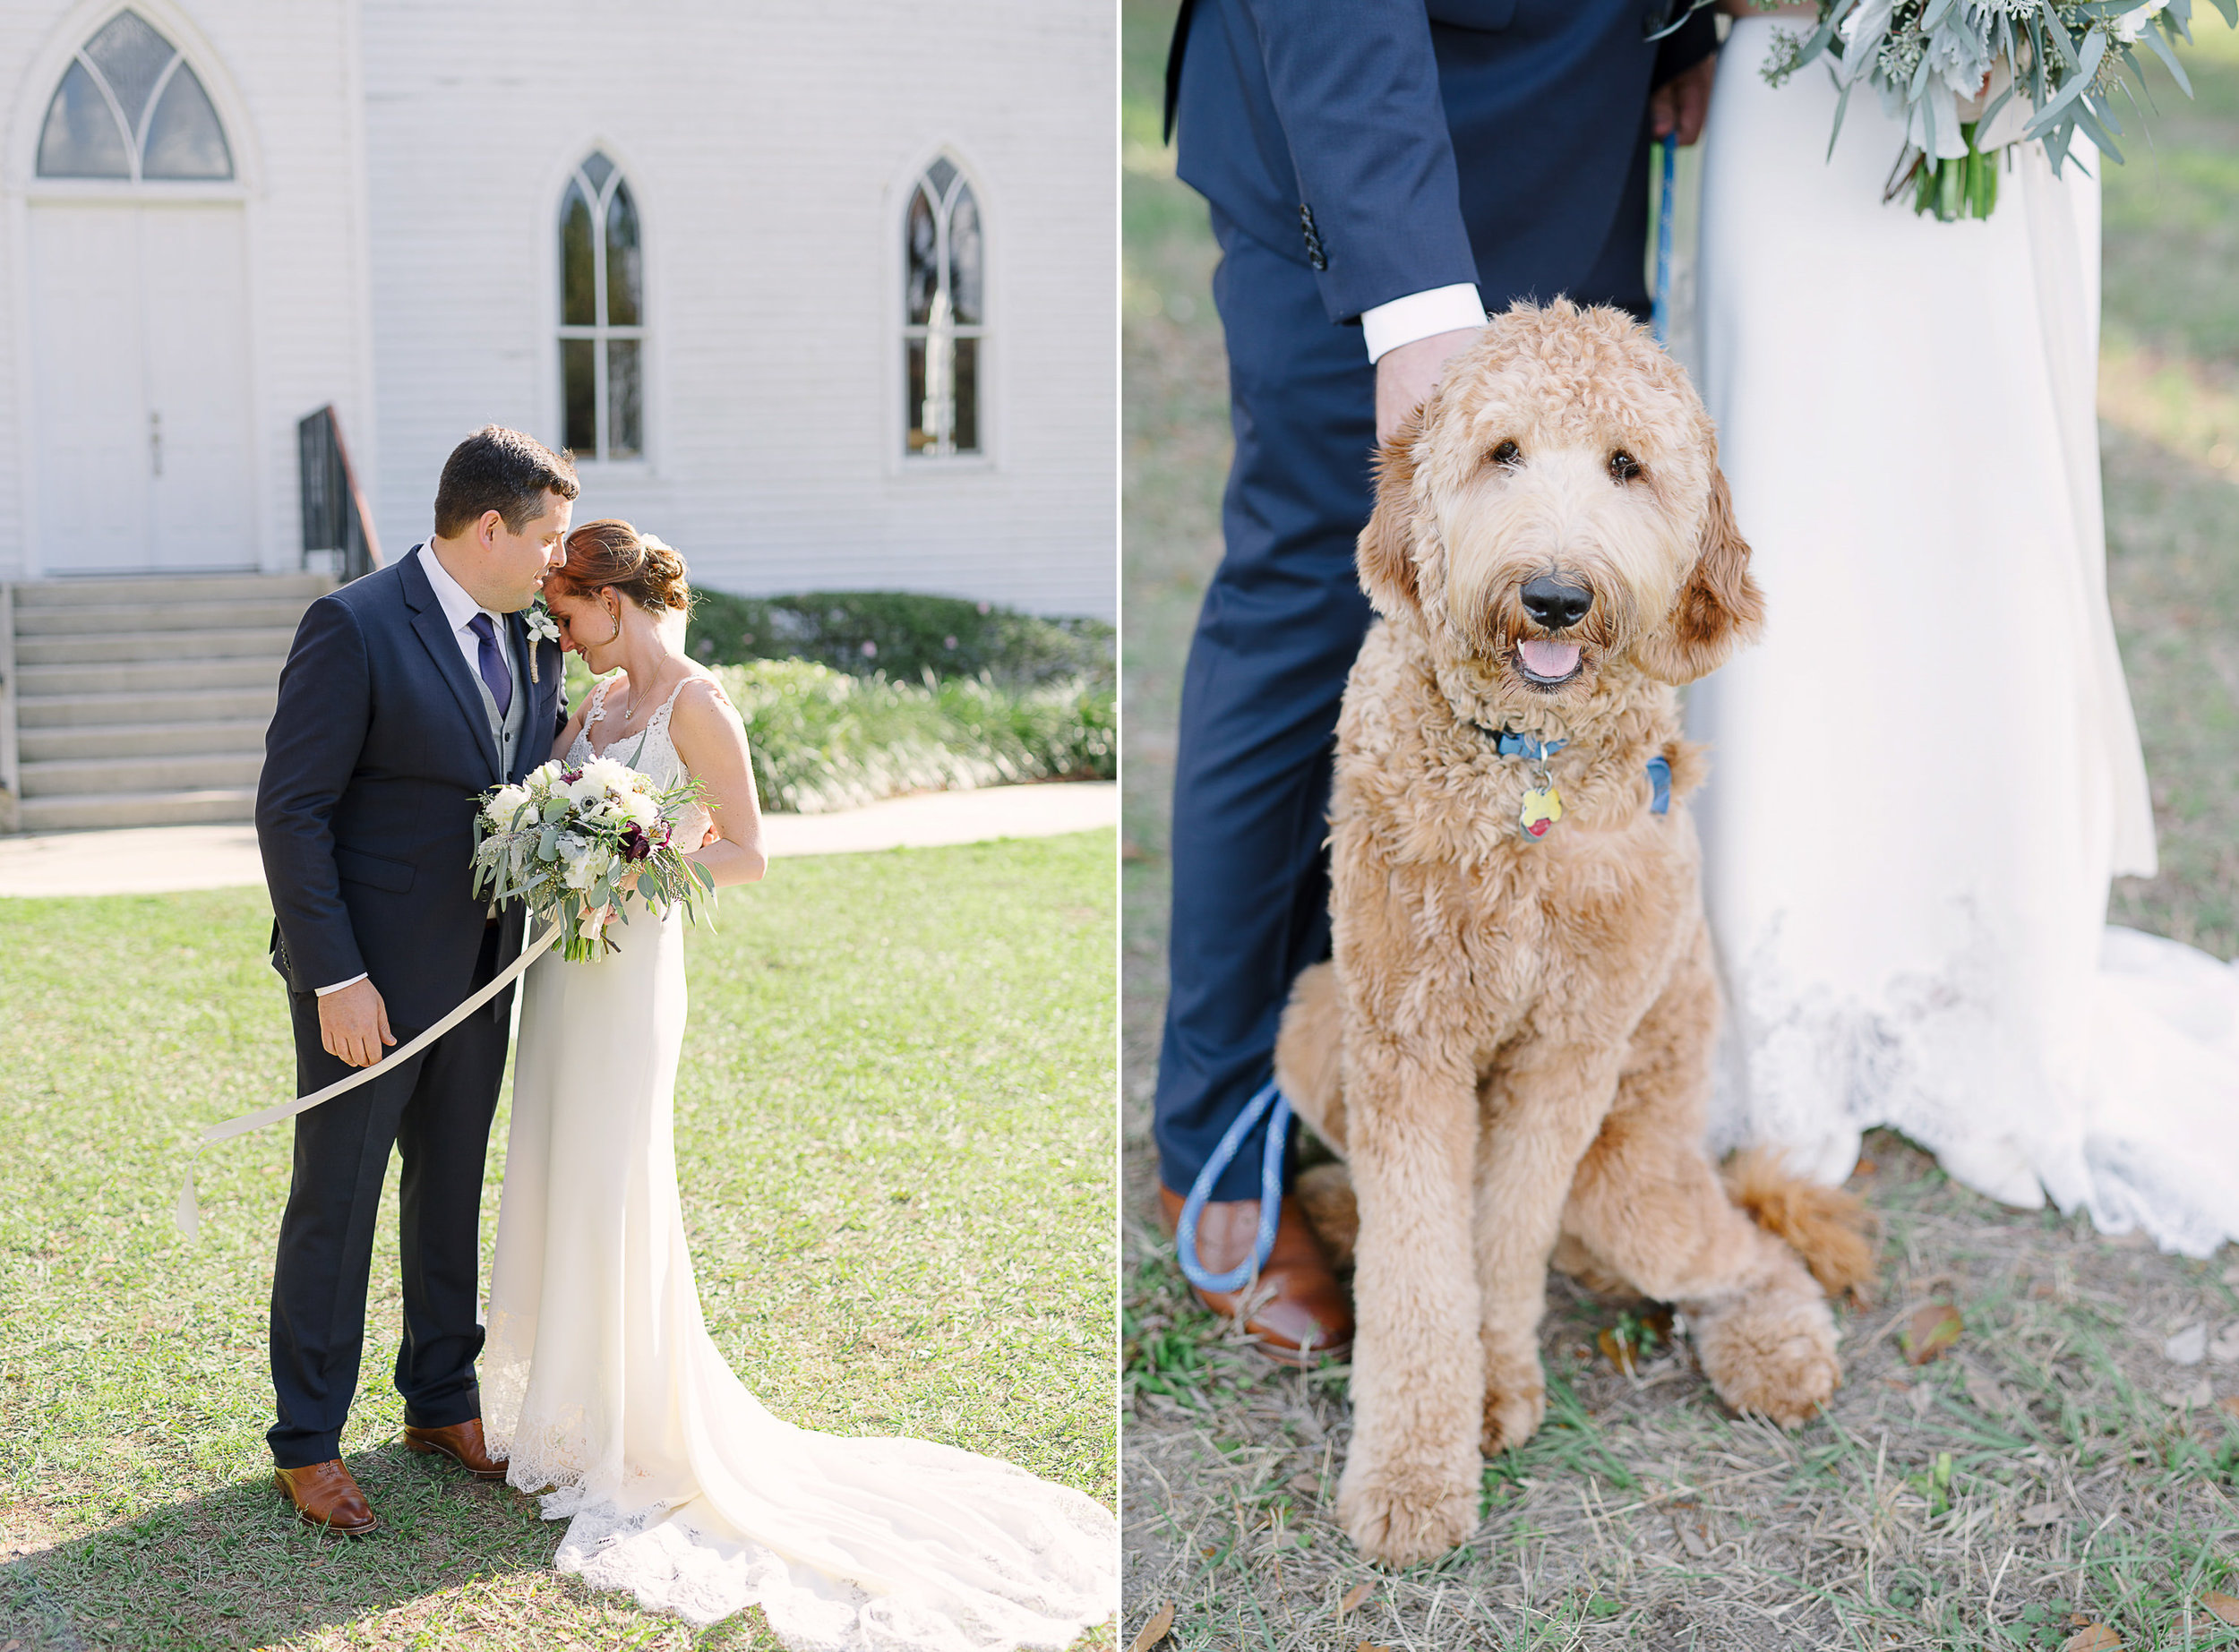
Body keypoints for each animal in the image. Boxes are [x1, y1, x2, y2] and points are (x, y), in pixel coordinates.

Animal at [1281, 300, 1872, 1567]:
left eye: (1626, 466)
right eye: (1502, 452)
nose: (1553, 595)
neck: (1524, 770)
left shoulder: (1565, 1057)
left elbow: (1499, 1239)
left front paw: (1490, 1393)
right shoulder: (1401, 1042)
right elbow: (1422, 1263)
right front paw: (1412, 1474)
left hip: (1629, 1182)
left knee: (1749, 1249)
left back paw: (1775, 1349)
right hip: (1312, 1030)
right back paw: (1335, 1216)